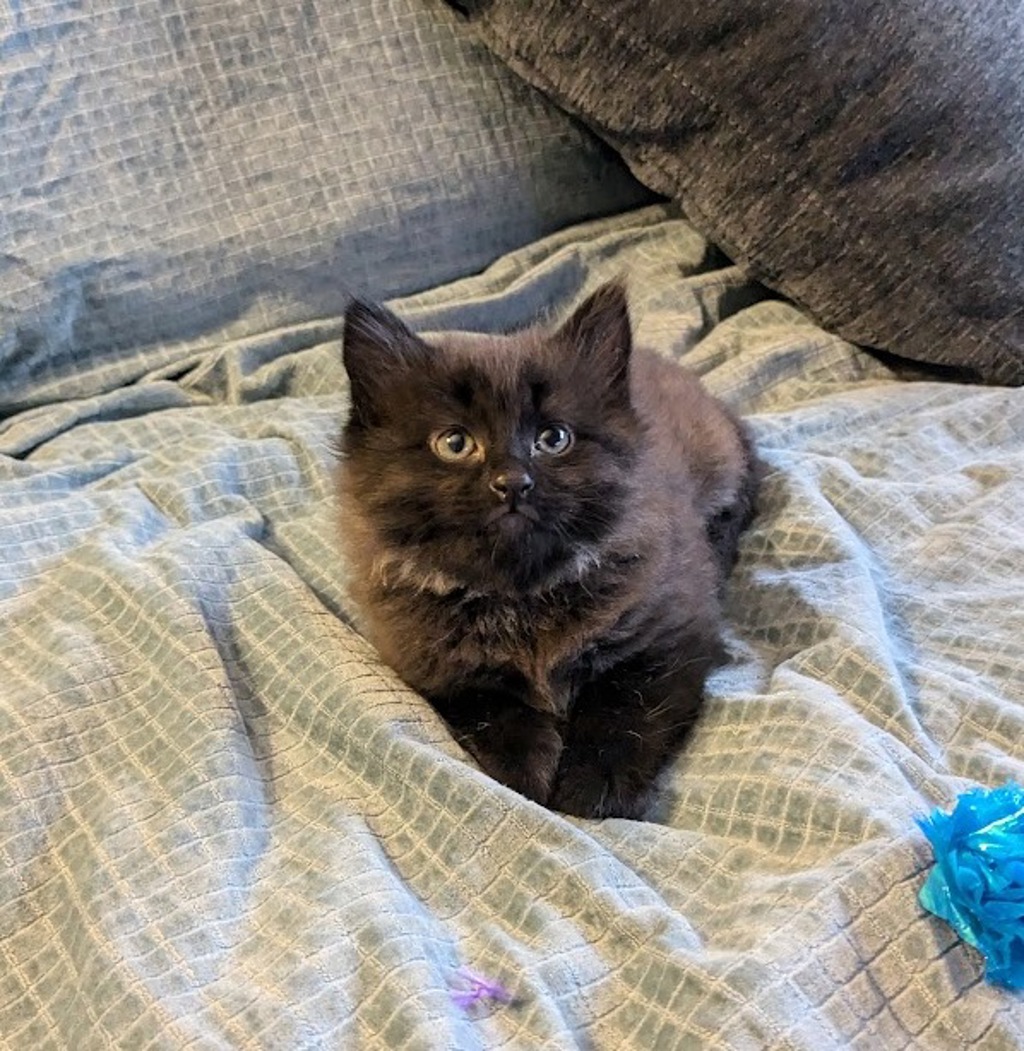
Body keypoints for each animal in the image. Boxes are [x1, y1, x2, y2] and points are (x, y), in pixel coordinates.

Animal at [335, 281, 759, 819]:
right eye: (454, 443)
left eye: (553, 438)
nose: (513, 482)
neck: (521, 597)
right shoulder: (430, 665)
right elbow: (495, 711)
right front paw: (529, 774)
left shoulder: (671, 630)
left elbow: (625, 710)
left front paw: (595, 786)